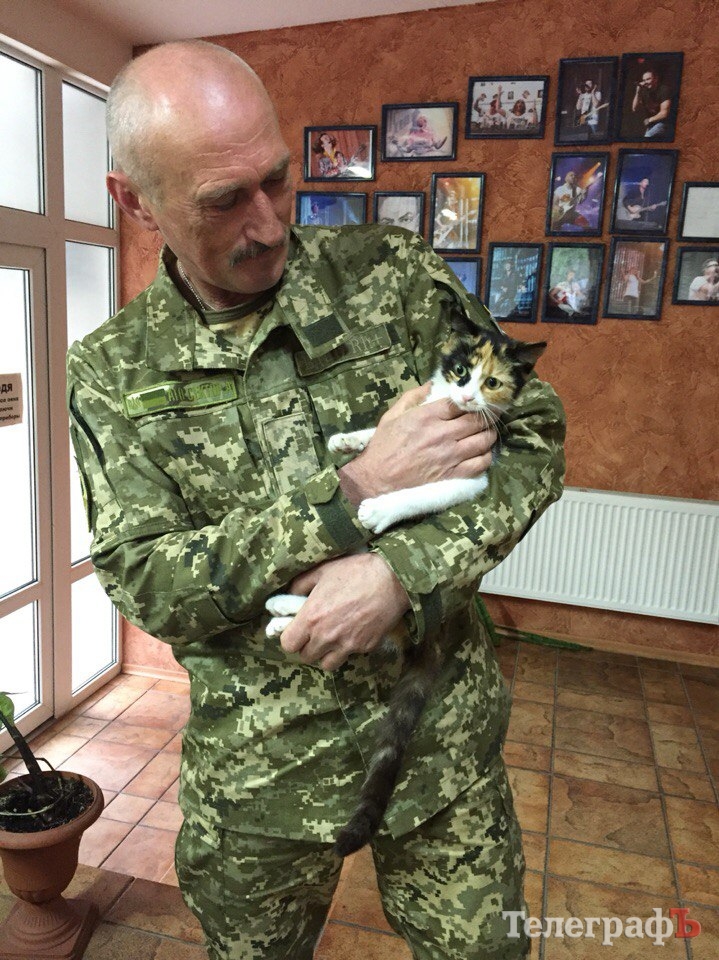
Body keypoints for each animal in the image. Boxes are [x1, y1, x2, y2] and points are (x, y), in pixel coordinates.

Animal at [266, 305, 546, 857]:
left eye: (493, 382)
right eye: (460, 372)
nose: (466, 397)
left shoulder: (473, 477)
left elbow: (425, 492)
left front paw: (379, 507)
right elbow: (385, 425)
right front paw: (352, 438)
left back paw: (288, 613)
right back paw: (282, 610)